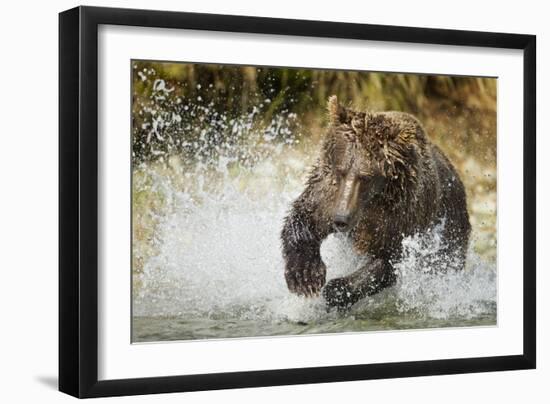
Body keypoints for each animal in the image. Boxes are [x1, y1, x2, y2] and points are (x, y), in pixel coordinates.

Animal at [282, 95, 472, 310]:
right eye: (341, 171)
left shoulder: (404, 215)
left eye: (365, 177)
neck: (373, 200)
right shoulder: (329, 193)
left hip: (451, 229)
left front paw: (337, 288)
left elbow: (391, 261)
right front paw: (305, 276)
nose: (341, 219)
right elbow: (306, 216)